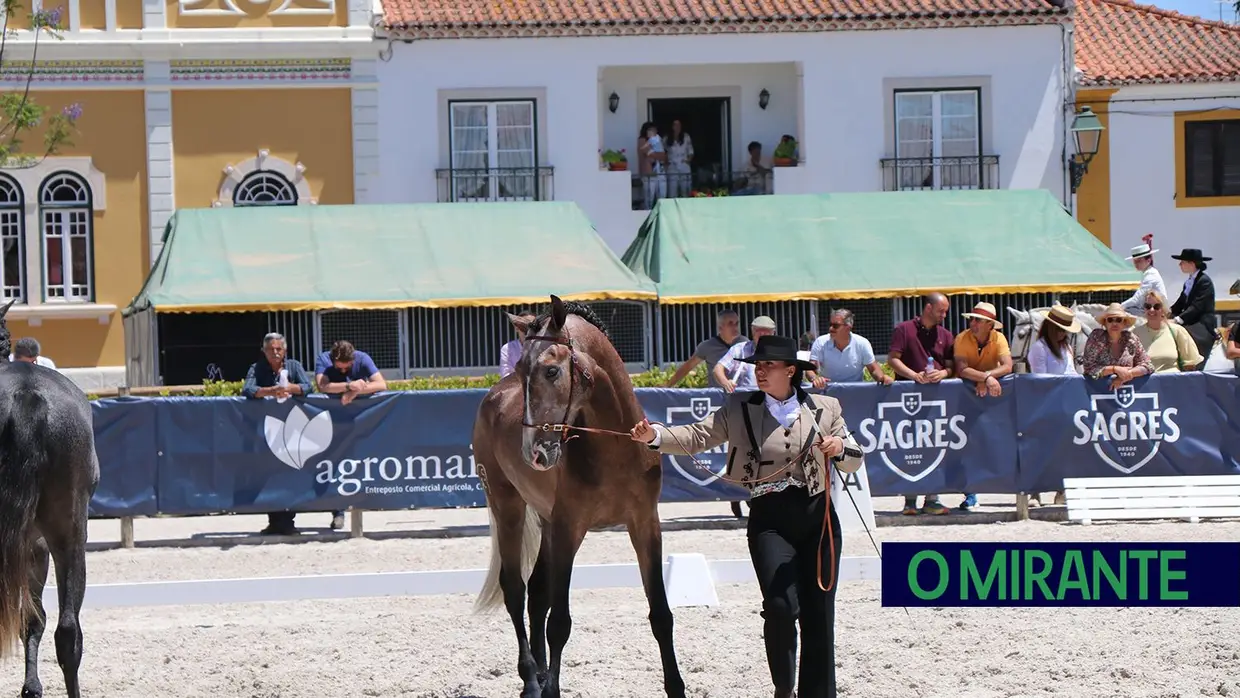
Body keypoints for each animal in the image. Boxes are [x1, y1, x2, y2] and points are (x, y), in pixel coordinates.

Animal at [471, 295, 689, 698]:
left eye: (551, 371)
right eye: (522, 369)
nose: (535, 453)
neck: (616, 446)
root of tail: (495, 393)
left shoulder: (644, 524)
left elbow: (661, 613)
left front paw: (676, 687)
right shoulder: (569, 528)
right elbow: (560, 622)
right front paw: (550, 688)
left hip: (544, 520)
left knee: (537, 594)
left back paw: (541, 675)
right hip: (508, 507)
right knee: (516, 591)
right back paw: (531, 680)